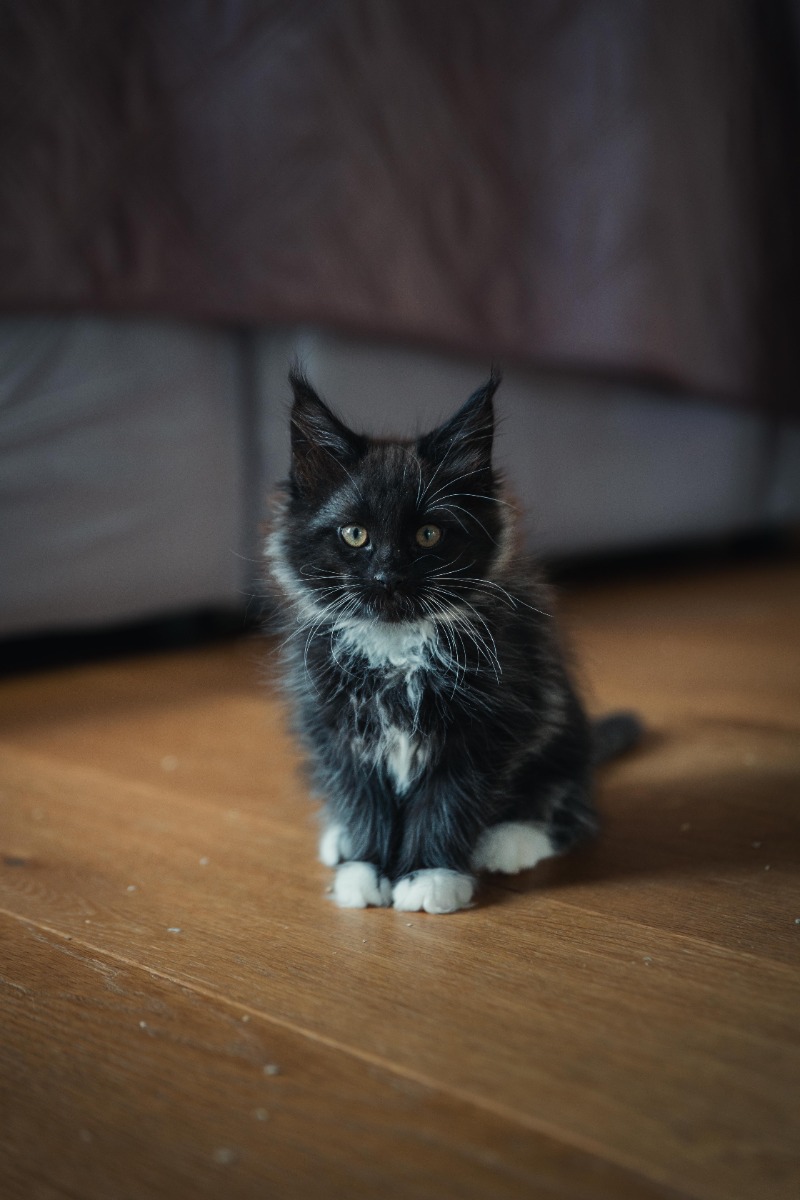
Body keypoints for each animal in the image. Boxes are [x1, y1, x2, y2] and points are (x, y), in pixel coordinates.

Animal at [266, 364, 642, 907]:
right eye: (355, 535)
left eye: (428, 535)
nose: (387, 576)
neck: (397, 648)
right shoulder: (335, 724)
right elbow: (361, 797)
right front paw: (364, 868)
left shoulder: (486, 725)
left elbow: (446, 801)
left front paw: (429, 877)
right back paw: (338, 838)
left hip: (559, 731)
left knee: (570, 804)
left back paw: (510, 839)